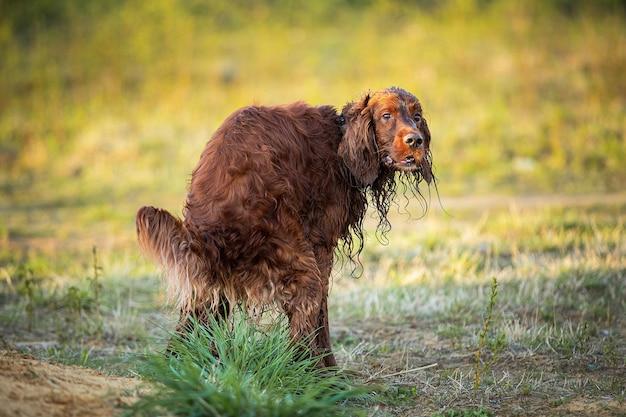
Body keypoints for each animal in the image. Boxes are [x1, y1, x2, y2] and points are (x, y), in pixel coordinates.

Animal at [136, 87, 432, 364]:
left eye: (417, 116)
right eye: (386, 116)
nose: (415, 140)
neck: (340, 142)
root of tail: (208, 233)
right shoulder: (320, 245)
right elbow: (322, 316)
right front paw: (330, 372)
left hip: (214, 278)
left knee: (196, 318)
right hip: (297, 263)